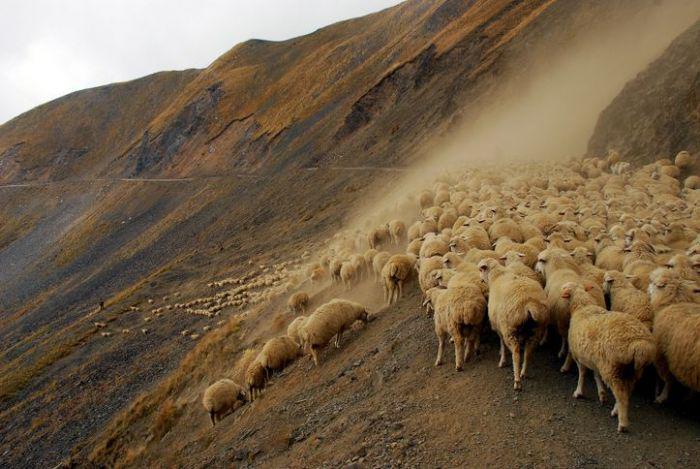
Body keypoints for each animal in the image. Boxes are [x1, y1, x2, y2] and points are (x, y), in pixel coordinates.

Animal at [478, 258, 548, 390]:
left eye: (480, 269)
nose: (480, 280)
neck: (496, 276)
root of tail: (529, 305)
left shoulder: (499, 328)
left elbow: (502, 344)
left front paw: (502, 360)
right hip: (536, 330)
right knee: (528, 353)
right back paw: (524, 373)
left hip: (510, 329)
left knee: (516, 354)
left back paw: (517, 381)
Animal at [560, 282, 652, 432]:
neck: (582, 306)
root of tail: (638, 344)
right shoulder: (593, 358)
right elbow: (596, 375)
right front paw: (601, 393)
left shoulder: (579, 355)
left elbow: (582, 374)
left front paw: (579, 392)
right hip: (631, 371)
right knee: (626, 392)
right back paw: (616, 410)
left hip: (612, 368)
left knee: (621, 395)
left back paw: (622, 423)